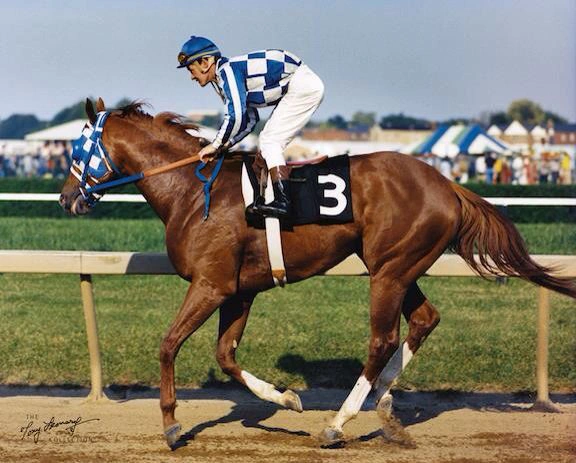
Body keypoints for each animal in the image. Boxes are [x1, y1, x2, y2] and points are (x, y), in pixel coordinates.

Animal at [59, 98, 576, 450]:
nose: (66, 198)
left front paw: (170, 424)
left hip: (388, 272)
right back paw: (385, 409)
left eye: (78, 146)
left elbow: (169, 344)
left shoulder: (212, 285)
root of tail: (447, 183)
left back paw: (338, 424)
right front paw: (286, 398)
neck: (190, 189)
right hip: (397, 265)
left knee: (382, 340)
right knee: (424, 320)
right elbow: (226, 355)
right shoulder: (239, 291)